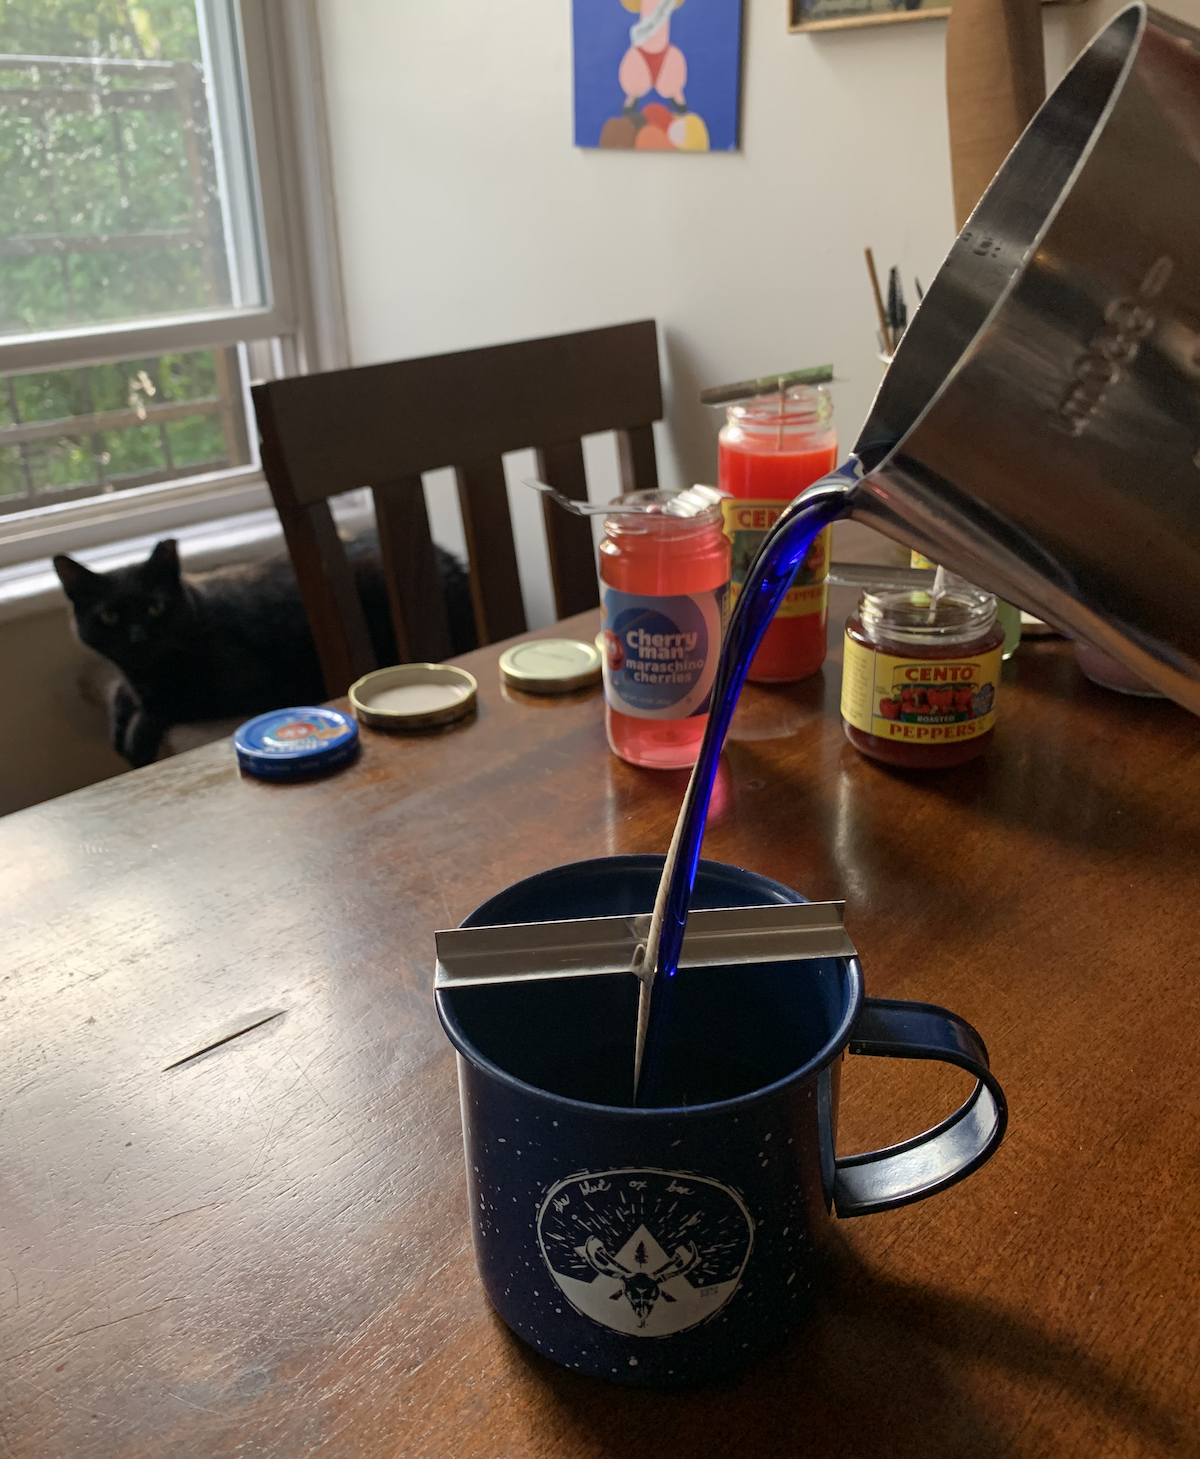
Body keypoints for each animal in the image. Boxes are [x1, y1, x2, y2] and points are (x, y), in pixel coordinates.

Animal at [55, 533, 478, 764]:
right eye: (108, 617)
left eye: (155, 608)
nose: (138, 638)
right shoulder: (130, 674)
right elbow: (120, 691)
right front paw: (120, 725)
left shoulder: (241, 684)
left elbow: (168, 703)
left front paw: (135, 740)